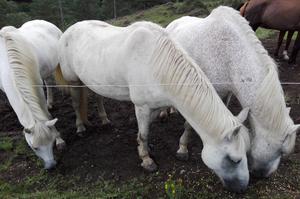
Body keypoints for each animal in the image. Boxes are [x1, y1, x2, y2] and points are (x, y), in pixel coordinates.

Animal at [0, 20, 65, 169]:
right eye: (34, 148)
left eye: (51, 142)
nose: (51, 165)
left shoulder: (37, 87)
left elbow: (46, 115)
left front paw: (59, 139)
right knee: (48, 83)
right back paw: (50, 103)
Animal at [55, 20, 251, 193]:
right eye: (234, 160)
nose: (243, 188)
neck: (157, 63)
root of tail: (67, 31)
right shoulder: (141, 106)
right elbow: (144, 133)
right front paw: (146, 160)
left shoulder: (155, 106)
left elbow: (146, 130)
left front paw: (144, 148)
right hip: (73, 81)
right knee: (75, 104)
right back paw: (80, 127)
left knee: (98, 98)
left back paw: (104, 120)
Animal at [166, 5, 300, 177]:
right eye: (281, 151)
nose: (263, 175)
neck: (227, 53)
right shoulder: (198, 92)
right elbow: (189, 124)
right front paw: (182, 148)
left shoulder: (226, 93)